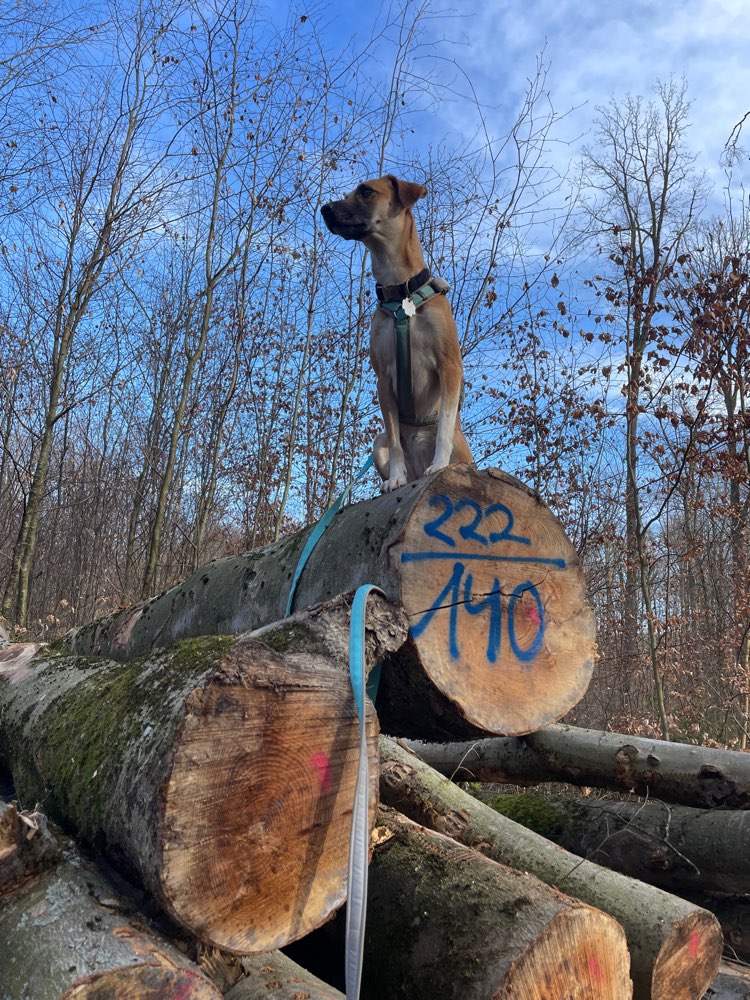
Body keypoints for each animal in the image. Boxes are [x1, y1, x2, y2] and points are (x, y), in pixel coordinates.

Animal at [320, 177, 472, 496]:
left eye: (366, 191)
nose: (324, 209)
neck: (401, 291)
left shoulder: (450, 365)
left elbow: (444, 425)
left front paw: (439, 464)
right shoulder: (383, 379)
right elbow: (393, 439)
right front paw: (396, 477)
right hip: (376, 444)